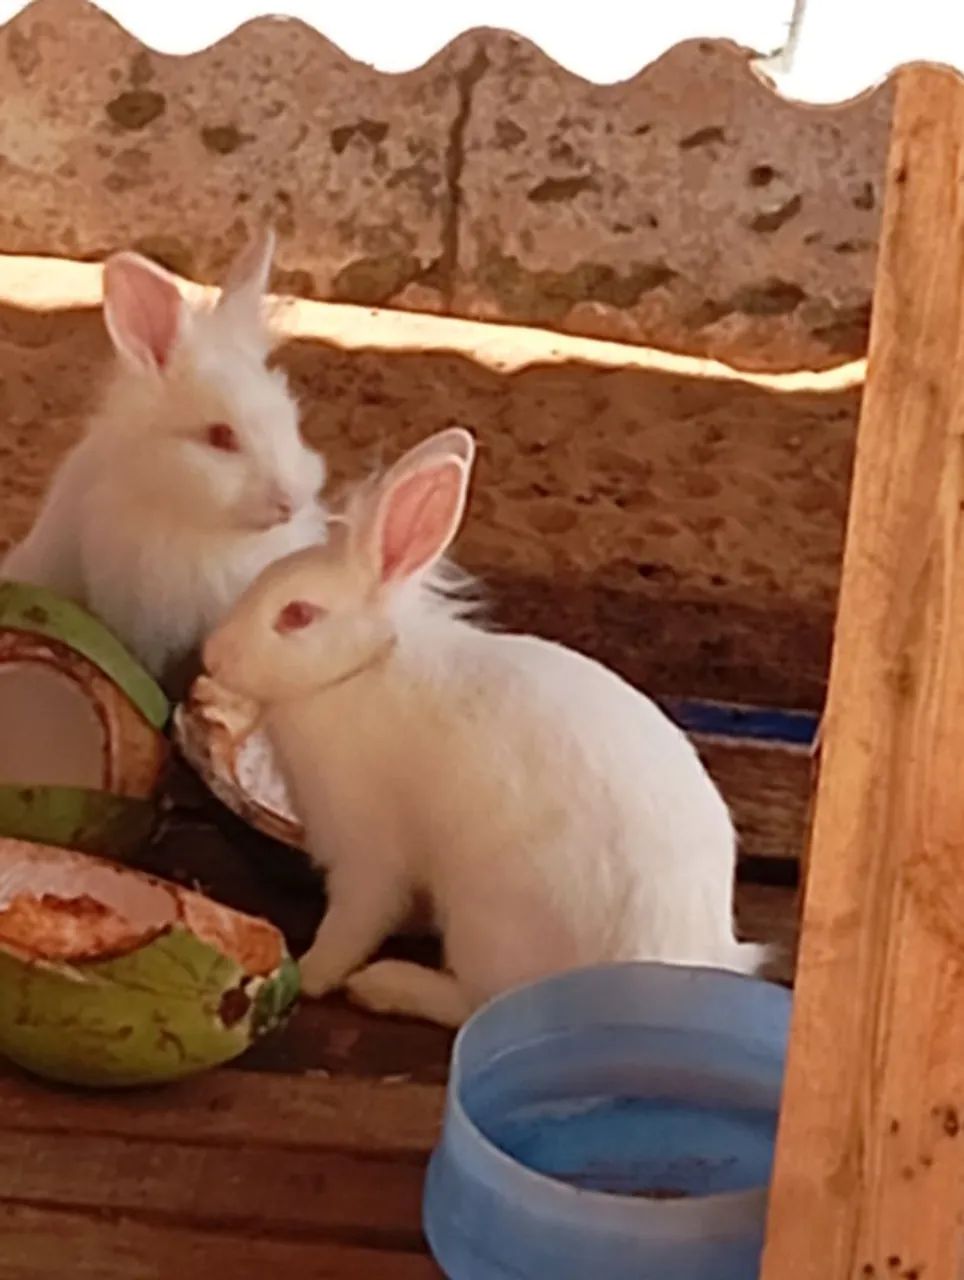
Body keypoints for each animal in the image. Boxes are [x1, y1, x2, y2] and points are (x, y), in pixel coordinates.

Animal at [200, 427, 768, 1028]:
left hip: (486, 921)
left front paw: (309, 974)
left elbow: (354, 922)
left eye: (297, 615)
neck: (357, 670)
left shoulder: (365, 852)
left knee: (479, 1002)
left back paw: (387, 984)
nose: (212, 656)